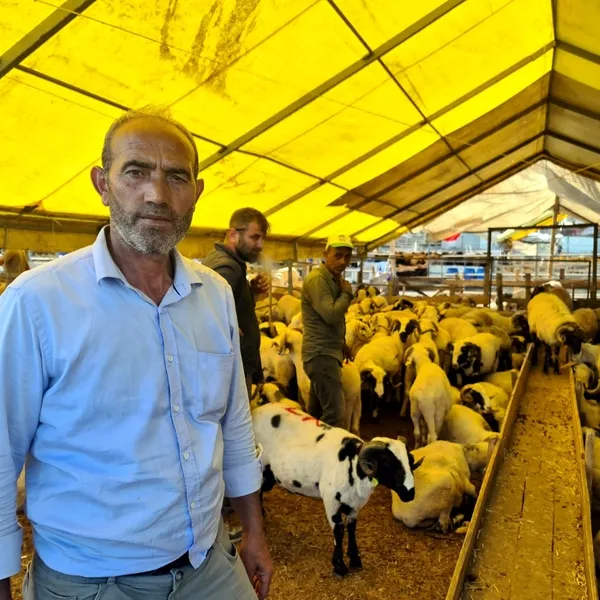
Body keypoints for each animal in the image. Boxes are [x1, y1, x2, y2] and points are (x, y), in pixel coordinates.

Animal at [252, 403, 420, 576]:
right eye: (387, 463)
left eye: (409, 461)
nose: (410, 494)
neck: (352, 467)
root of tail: (258, 409)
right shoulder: (331, 500)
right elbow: (339, 531)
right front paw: (339, 566)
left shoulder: (354, 505)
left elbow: (352, 528)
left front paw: (354, 559)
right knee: (256, 493)